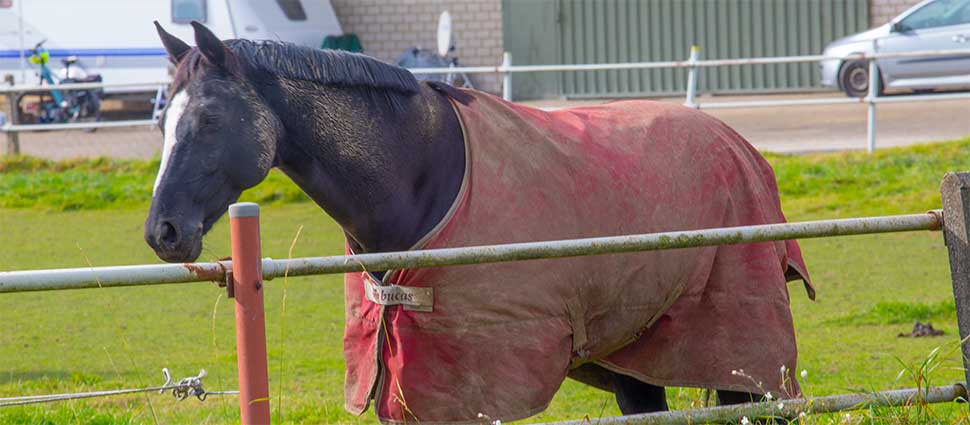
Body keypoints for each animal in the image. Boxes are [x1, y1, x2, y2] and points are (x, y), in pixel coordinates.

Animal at [146, 21, 808, 422]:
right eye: (162, 120)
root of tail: (739, 145)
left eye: (208, 119)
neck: (420, 174)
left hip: (738, 349)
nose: (162, 232)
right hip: (638, 352)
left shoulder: (477, 376)